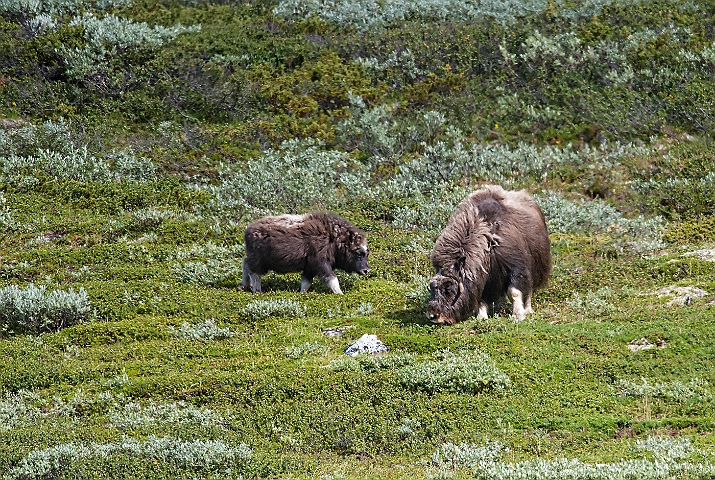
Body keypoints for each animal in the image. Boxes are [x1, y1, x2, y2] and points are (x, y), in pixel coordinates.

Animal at [243, 213, 372, 294]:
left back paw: (243, 286)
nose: (366, 270)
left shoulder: (310, 266)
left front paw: (302, 294)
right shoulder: (320, 262)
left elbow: (306, 282)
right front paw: (340, 294)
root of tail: (248, 230)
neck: (334, 239)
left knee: (245, 263)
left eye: (367, 254)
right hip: (259, 261)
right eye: (359, 253)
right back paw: (257, 291)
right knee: (254, 272)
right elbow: (332, 278)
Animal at [428, 186, 552, 324]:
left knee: (529, 289)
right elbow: (481, 298)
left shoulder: (516, 267)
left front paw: (518, 315)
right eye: (431, 288)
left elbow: (514, 292)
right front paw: (481, 317)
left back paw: (528, 310)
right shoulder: (482, 278)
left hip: (535, 267)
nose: (433, 316)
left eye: (448, 289)